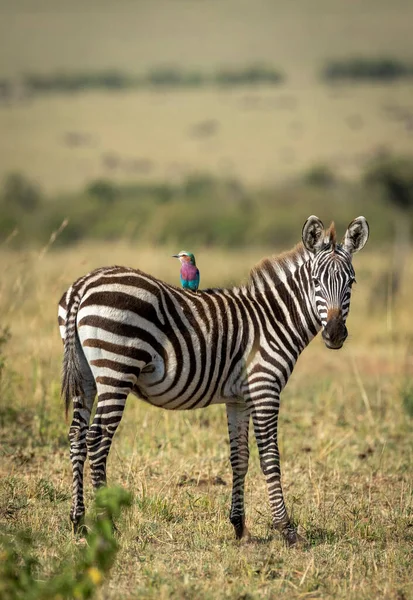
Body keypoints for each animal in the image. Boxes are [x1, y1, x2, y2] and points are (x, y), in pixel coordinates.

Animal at [57, 214, 366, 544]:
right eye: (316, 282)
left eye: (351, 282)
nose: (334, 334)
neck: (274, 318)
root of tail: (84, 284)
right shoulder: (265, 388)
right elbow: (270, 458)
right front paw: (286, 529)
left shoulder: (239, 399)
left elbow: (239, 457)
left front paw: (239, 526)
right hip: (116, 371)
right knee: (97, 439)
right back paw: (107, 523)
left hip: (86, 377)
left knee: (77, 436)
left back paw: (78, 521)